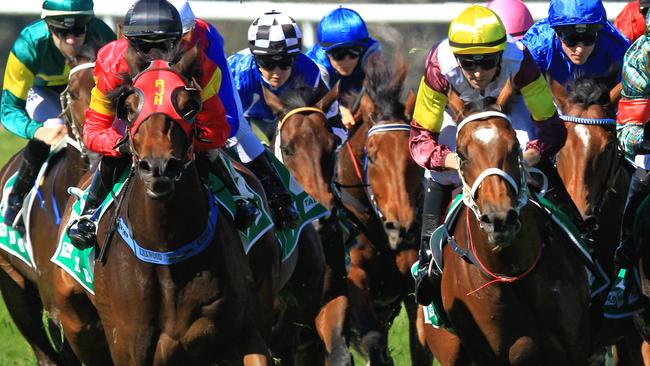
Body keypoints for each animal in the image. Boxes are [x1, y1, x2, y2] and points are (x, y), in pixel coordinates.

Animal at [334, 53, 430, 364]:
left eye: (414, 156)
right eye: (373, 156)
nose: (402, 228)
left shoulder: (411, 282)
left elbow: (421, 343)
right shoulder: (354, 277)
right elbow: (372, 339)